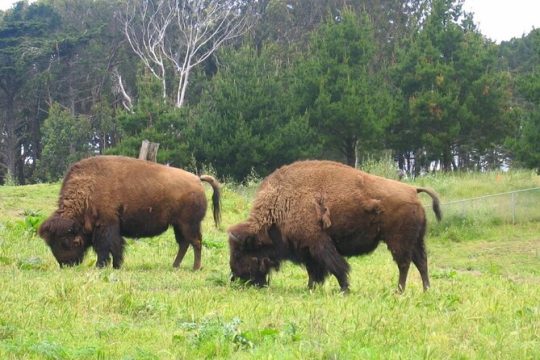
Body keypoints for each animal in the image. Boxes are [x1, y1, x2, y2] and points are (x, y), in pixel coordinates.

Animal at [38, 155, 220, 270]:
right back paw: (175, 266)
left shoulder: (106, 226)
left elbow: (106, 248)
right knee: (184, 244)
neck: (88, 189)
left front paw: (102, 266)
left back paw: (195, 268)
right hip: (178, 225)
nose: (66, 264)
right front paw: (116, 265)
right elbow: (116, 247)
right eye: (50, 244)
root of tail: (197, 179)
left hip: (189, 224)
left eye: (66, 242)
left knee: (195, 242)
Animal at [226, 160, 440, 292]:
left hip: (398, 242)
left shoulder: (318, 244)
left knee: (404, 265)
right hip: (416, 241)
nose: (235, 277)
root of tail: (412, 189)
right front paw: (311, 287)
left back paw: (399, 291)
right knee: (421, 262)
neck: (281, 204)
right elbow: (314, 271)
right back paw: (426, 290)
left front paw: (344, 289)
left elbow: (337, 267)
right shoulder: (307, 250)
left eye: (239, 253)